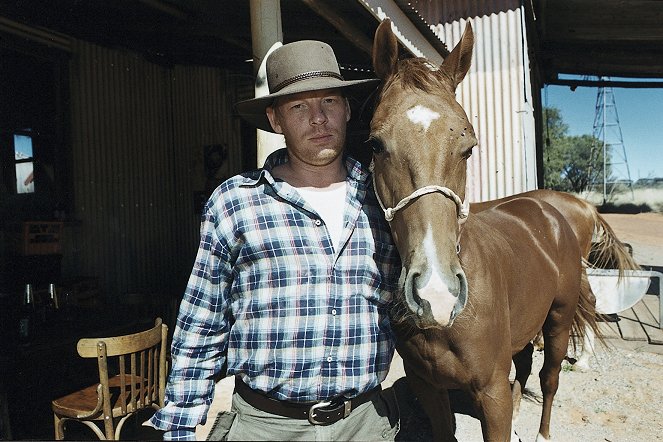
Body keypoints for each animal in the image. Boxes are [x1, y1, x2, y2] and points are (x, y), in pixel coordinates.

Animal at [370, 19, 600, 440]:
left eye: (469, 148)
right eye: (376, 145)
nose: (436, 294)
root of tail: (552, 211)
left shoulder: (492, 394)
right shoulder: (428, 387)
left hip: (558, 319)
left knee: (550, 378)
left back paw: (542, 431)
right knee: (524, 368)